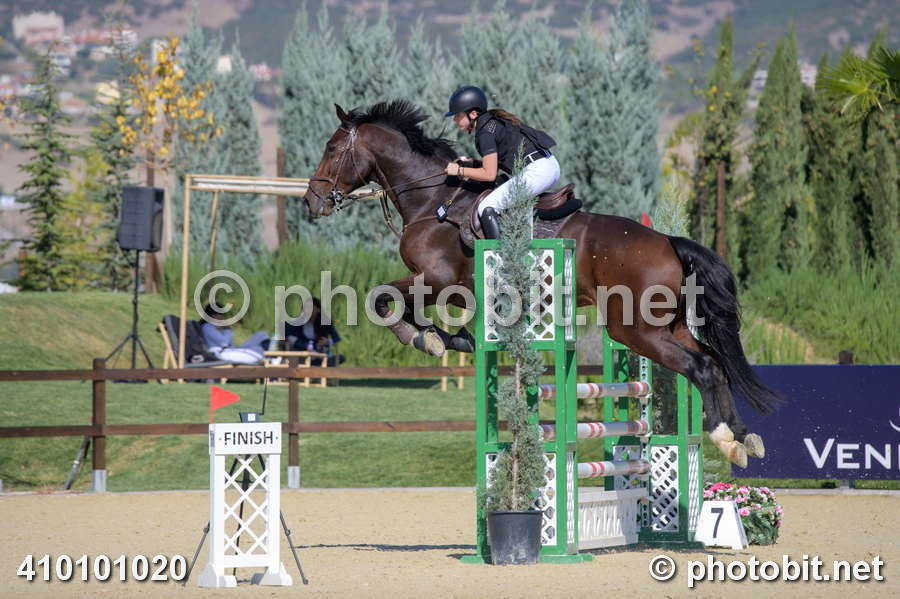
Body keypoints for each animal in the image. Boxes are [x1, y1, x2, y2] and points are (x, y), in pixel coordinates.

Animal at [302, 99, 783, 468]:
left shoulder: (434, 279)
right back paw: (743, 439)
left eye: (331, 148)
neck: (432, 201)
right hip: (671, 324)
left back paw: (724, 437)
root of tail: (667, 241)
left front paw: (424, 339)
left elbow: (383, 299)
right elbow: (414, 309)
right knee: (715, 362)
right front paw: (448, 338)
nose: (312, 201)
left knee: (701, 367)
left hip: (634, 328)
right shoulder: (452, 288)